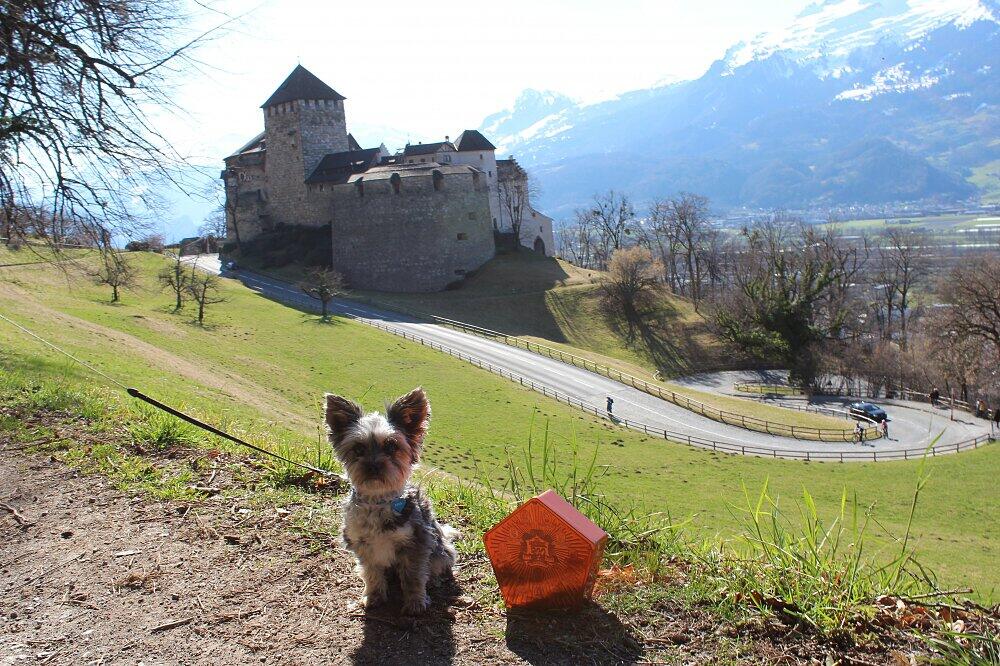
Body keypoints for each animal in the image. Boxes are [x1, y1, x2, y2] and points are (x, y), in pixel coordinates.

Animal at [324, 386, 458, 616]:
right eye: (358, 448)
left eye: (391, 446)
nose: (373, 466)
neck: (378, 501)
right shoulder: (363, 546)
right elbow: (371, 574)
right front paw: (373, 596)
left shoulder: (416, 543)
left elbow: (414, 576)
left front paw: (415, 602)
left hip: (441, 550)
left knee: (436, 565)